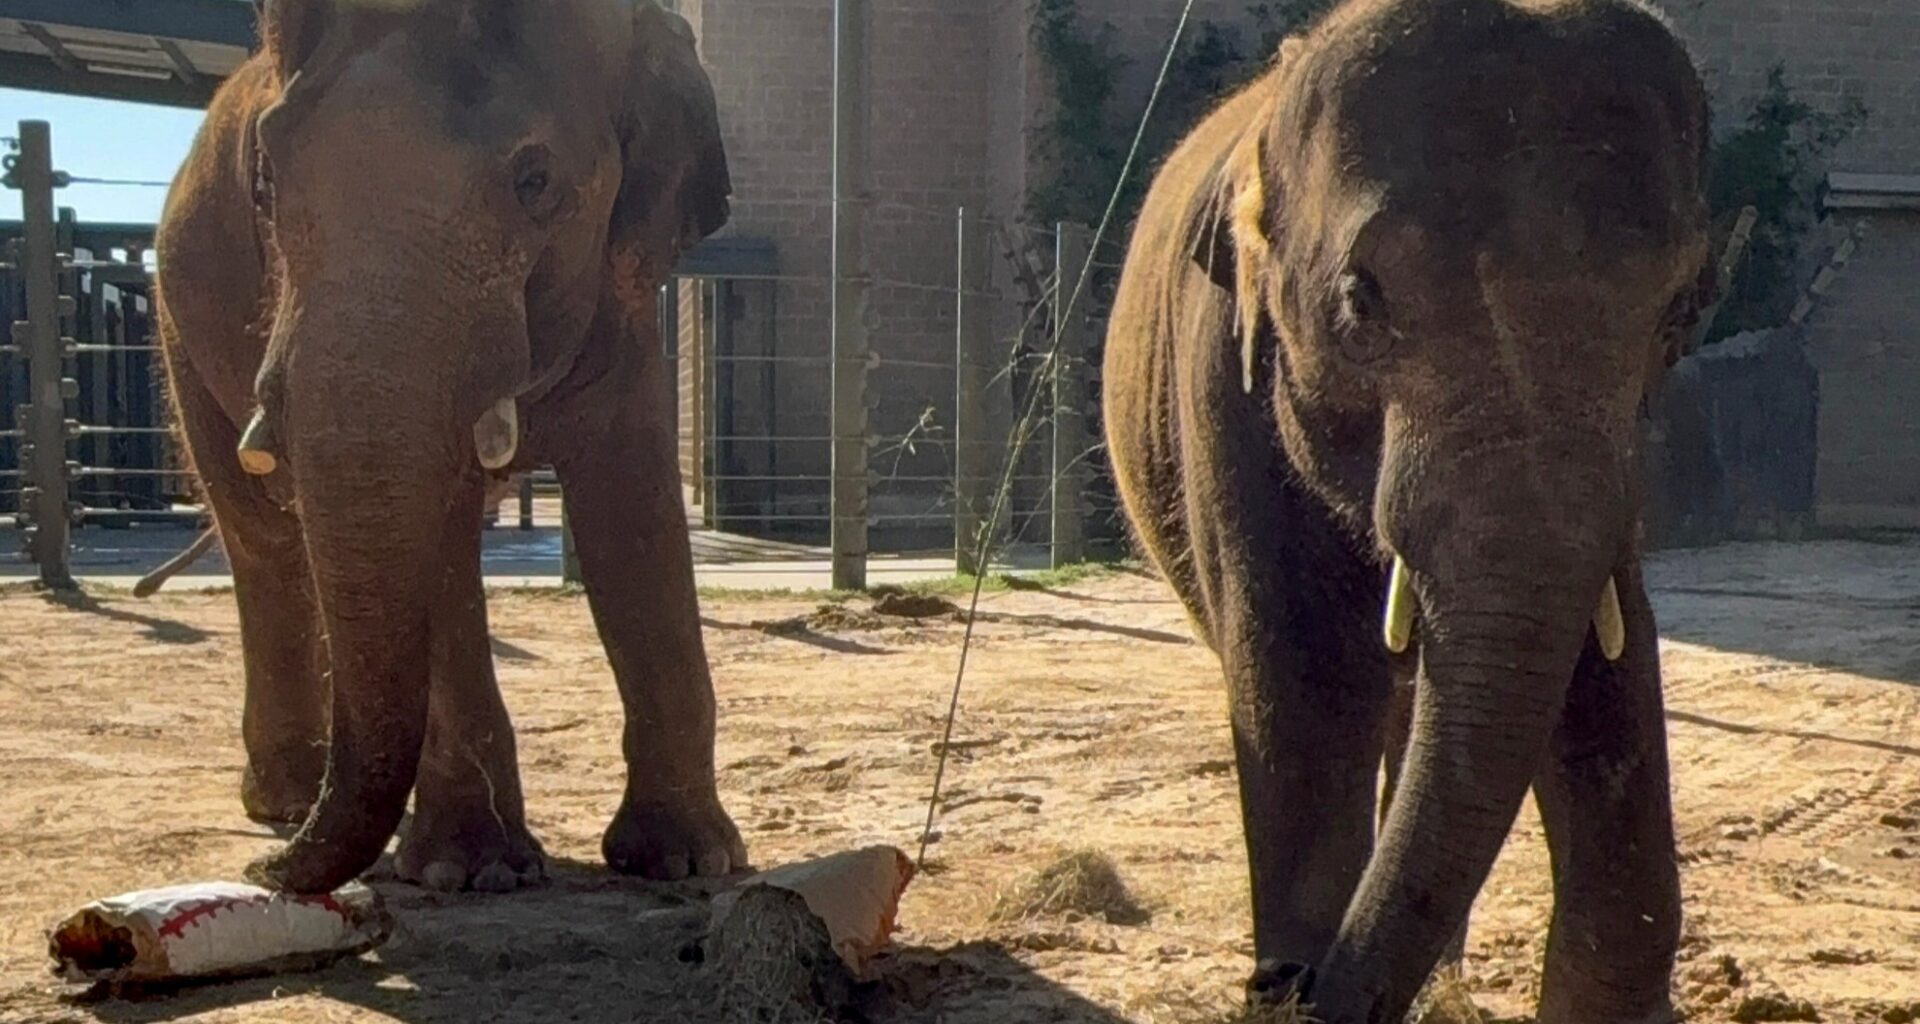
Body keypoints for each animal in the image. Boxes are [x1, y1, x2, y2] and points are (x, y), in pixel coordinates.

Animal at [153, 0, 745, 894]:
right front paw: (471, 872)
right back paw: (290, 799)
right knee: (261, 536)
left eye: (536, 182)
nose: (266, 874)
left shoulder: (625, 301)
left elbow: (633, 512)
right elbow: (438, 539)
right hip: (181, 321)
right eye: (265, 183)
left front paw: (686, 861)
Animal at [1103, 0, 1715, 1020]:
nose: (1287, 988)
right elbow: (1305, 687)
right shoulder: (1224, 392)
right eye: (1360, 301)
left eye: (1681, 318)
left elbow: (1606, 673)